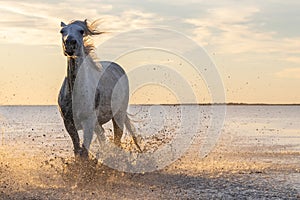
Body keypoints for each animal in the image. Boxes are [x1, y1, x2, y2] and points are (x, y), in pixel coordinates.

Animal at [58, 19, 141, 158]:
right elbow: (78, 150)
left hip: (118, 115)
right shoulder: (69, 123)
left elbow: (84, 152)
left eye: (81, 31)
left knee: (117, 139)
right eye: (62, 31)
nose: (69, 44)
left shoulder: (89, 123)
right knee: (103, 139)